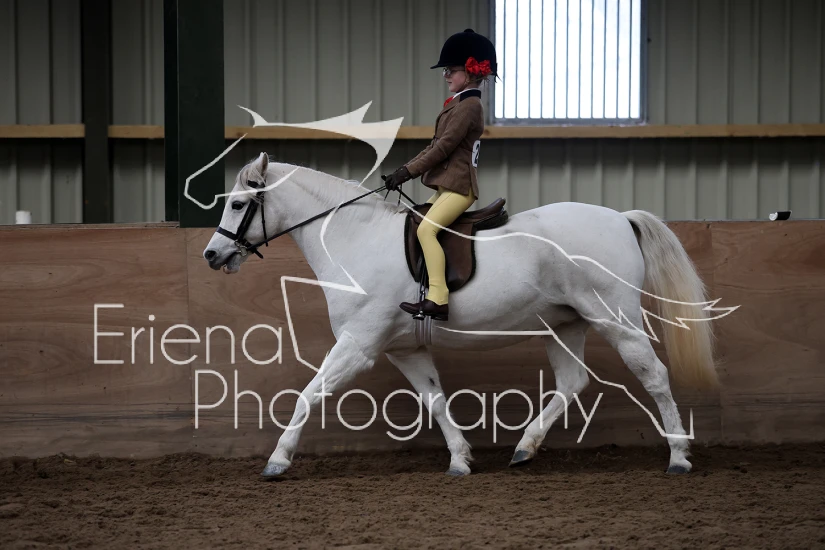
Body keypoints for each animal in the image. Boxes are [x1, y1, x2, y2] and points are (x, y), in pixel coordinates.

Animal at [202, 152, 720, 477]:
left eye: (238, 203)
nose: (211, 255)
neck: (356, 237)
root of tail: (620, 218)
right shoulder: (404, 350)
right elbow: (435, 400)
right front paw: (460, 460)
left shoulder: (358, 344)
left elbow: (308, 396)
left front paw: (277, 460)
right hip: (564, 323)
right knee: (572, 382)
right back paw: (524, 448)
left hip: (614, 317)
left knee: (653, 375)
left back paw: (678, 456)